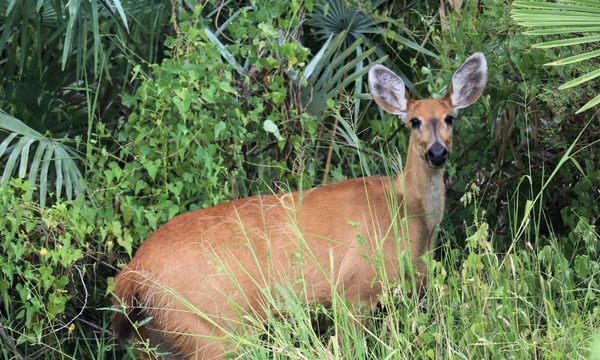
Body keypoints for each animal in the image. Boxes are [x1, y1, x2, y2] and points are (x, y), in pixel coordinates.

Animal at [111, 52, 488, 358]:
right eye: (414, 121)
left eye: (450, 118)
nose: (437, 153)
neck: (407, 212)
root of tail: (132, 274)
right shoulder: (352, 290)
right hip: (210, 327)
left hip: (152, 336)